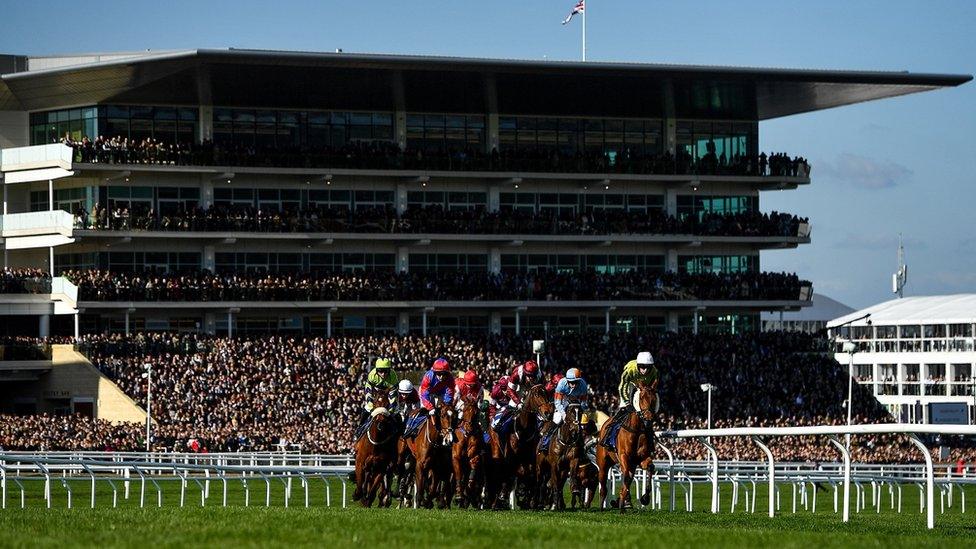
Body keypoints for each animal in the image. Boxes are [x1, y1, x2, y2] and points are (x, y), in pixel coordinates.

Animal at [592, 378, 660, 512]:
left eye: (654, 398)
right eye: (642, 397)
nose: (648, 419)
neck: (638, 430)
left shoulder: (641, 458)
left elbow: (650, 468)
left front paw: (644, 498)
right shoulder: (624, 456)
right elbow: (626, 477)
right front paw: (622, 504)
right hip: (603, 463)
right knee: (603, 484)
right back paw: (602, 505)